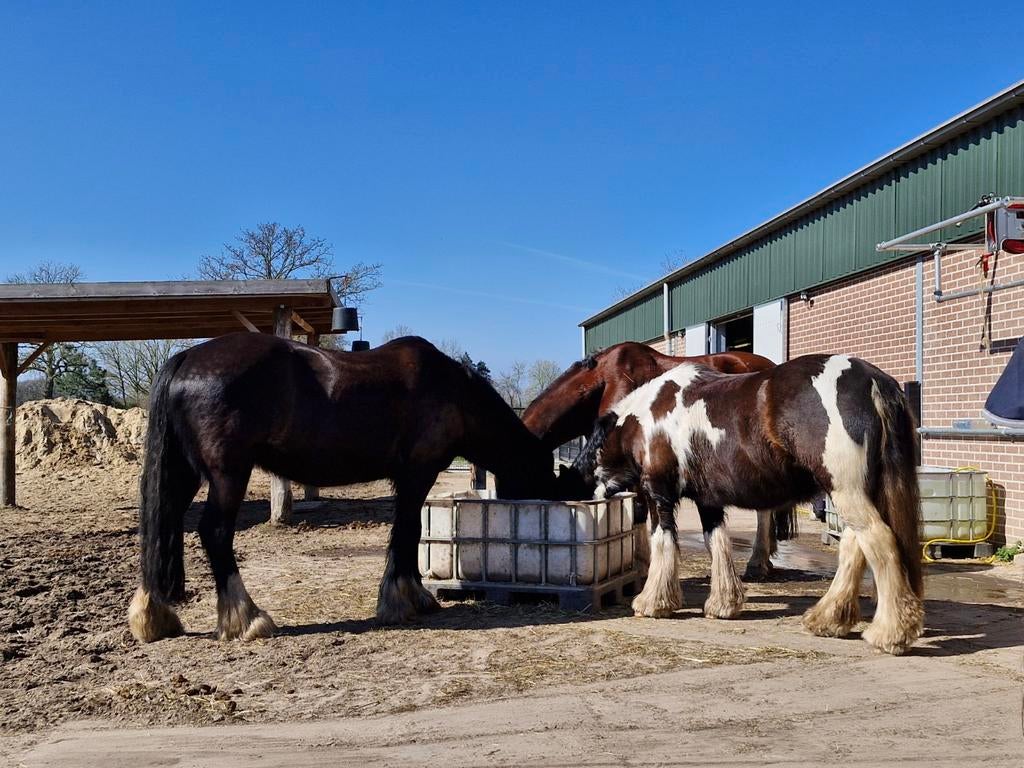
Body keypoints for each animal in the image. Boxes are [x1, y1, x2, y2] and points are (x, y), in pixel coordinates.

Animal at [127, 333, 559, 643]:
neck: (452, 392)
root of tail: (187, 358)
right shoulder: (417, 474)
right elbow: (407, 531)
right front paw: (402, 601)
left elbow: (408, 533)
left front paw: (412, 596)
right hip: (228, 473)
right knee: (214, 532)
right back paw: (247, 618)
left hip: (185, 473)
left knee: (162, 524)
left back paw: (155, 616)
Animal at [584, 354, 924, 655]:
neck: (646, 418)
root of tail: (874, 381)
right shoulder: (708, 500)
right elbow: (717, 543)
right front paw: (724, 604)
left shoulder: (659, 494)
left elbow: (663, 542)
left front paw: (653, 603)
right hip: (855, 491)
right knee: (855, 546)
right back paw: (828, 620)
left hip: (846, 490)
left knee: (879, 542)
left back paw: (890, 633)